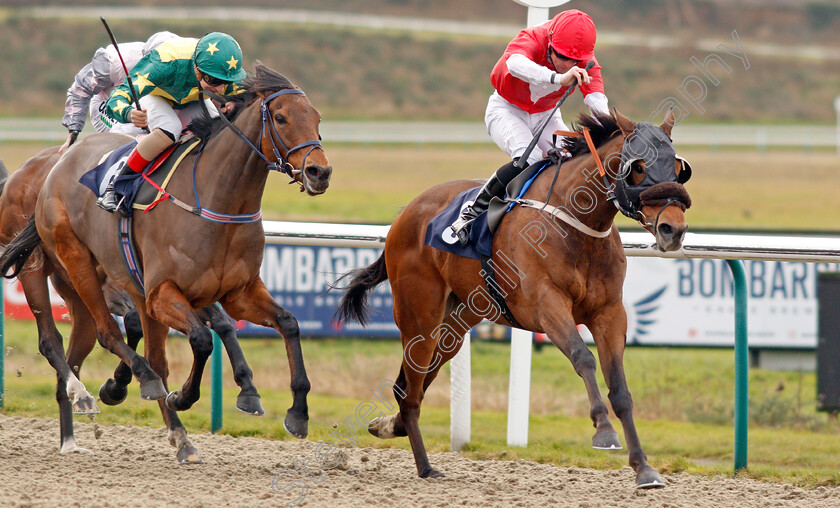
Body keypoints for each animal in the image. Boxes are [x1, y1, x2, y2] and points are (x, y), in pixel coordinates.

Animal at [0, 144, 266, 456]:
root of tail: (19, 176)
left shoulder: (171, 284)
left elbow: (219, 322)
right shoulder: (126, 282)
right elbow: (136, 325)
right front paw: (122, 383)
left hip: (72, 286)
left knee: (78, 348)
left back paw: (71, 437)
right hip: (37, 268)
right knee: (50, 340)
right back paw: (81, 393)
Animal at [338, 110, 692, 488]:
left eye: (678, 166)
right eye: (638, 167)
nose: (673, 229)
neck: (576, 222)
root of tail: (404, 214)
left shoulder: (609, 313)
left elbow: (621, 390)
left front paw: (644, 468)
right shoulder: (547, 306)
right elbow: (583, 358)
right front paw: (604, 431)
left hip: (455, 324)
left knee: (411, 384)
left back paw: (391, 425)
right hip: (418, 316)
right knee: (412, 387)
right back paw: (425, 466)